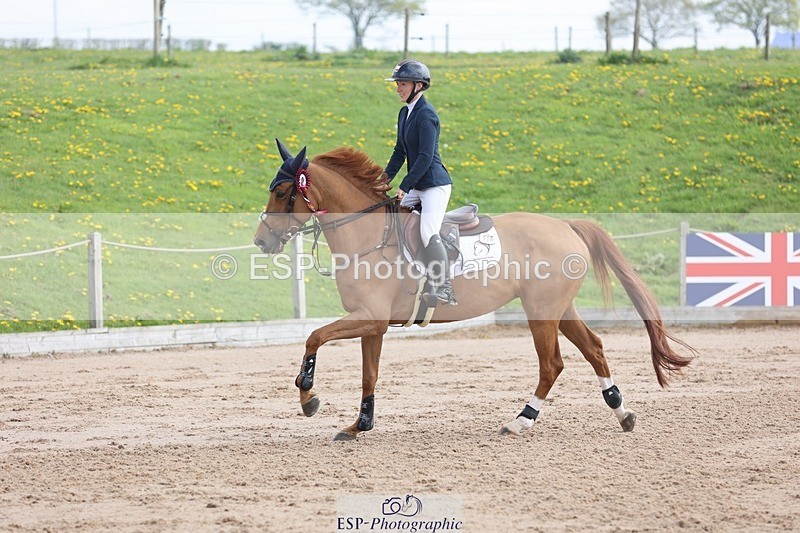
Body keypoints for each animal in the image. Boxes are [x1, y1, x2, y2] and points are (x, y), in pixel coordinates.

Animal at [253, 139, 695, 441]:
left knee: (552, 364)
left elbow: (314, 337)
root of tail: (565, 225)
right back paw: (622, 413)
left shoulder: (368, 318)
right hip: (560, 308)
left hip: (541, 313)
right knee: (595, 349)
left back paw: (520, 421)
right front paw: (359, 424)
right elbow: (369, 375)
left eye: (282, 192)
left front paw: (308, 397)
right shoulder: (373, 324)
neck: (366, 233)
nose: (260, 241)